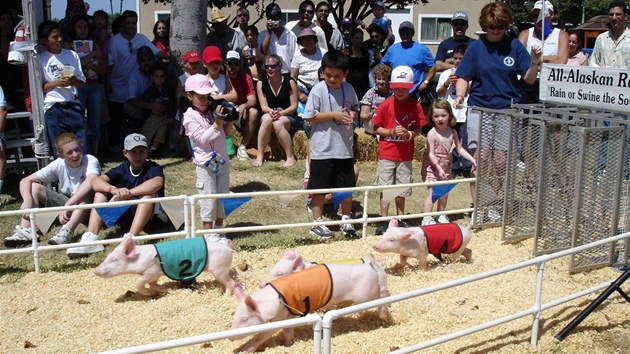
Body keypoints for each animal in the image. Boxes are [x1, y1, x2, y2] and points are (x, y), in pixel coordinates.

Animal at [94, 235, 239, 296]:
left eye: (114, 259)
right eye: (107, 257)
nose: (95, 270)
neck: (138, 258)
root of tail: (227, 248)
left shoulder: (152, 270)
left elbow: (140, 281)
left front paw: (147, 293)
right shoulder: (154, 275)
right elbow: (153, 284)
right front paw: (167, 289)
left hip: (218, 269)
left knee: (229, 283)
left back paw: (225, 295)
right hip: (223, 267)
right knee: (232, 274)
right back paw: (237, 280)